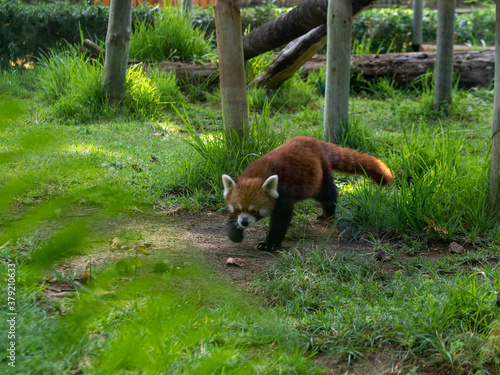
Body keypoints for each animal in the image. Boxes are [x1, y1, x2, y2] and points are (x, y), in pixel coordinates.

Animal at [224, 137, 394, 251]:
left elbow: (281, 220)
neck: (257, 175)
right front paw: (235, 233)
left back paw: (328, 214)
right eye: (238, 209)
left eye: (254, 211)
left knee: (327, 195)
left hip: (319, 176)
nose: (244, 223)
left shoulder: (283, 195)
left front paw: (270, 244)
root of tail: (316, 141)